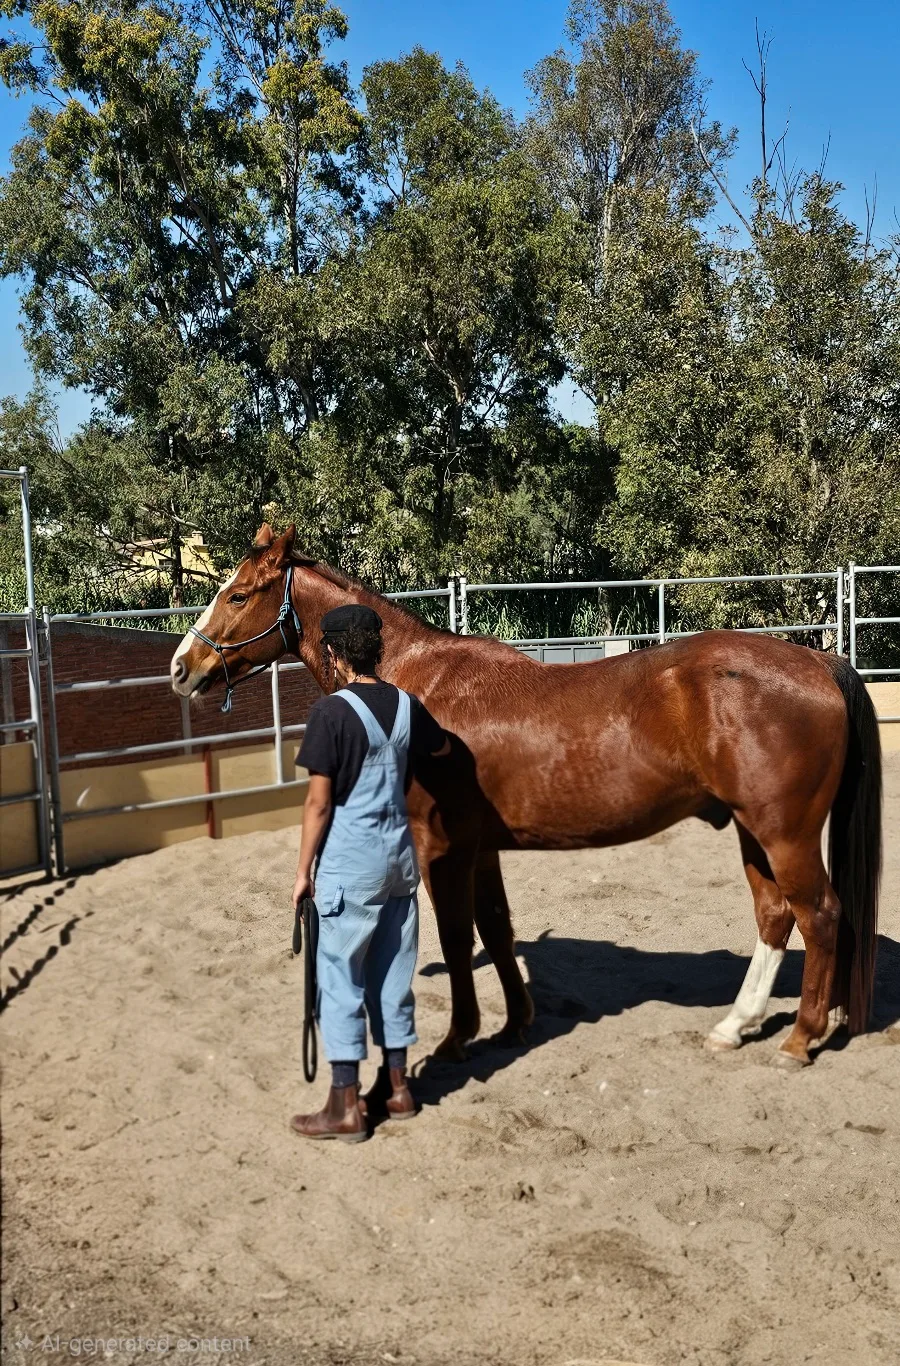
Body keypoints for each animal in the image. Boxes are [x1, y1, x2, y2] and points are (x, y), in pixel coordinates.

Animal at [170, 524, 882, 1069]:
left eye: (237, 594)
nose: (182, 668)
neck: (414, 685)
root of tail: (822, 663)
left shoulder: (441, 849)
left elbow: (457, 936)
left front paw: (458, 1039)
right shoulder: (480, 848)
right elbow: (497, 927)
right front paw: (516, 1023)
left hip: (783, 833)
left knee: (820, 914)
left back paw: (798, 1039)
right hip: (751, 830)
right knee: (776, 915)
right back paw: (737, 1025)